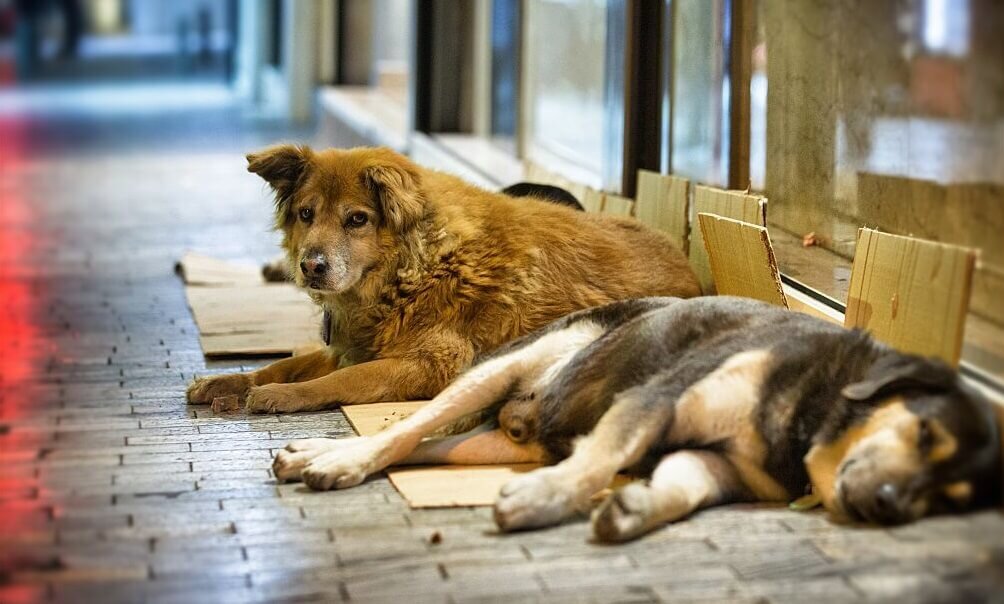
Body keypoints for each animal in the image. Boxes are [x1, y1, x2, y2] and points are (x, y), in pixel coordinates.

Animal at [186, 145, 698, 411]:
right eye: (306, 214)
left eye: (357, 219)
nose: (311, 266)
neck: (410, 268)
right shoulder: (352, 345)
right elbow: (285, 364)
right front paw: (230, 382)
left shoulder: (430, 365)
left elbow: (338, 382)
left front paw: (283, 395)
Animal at [271, 296, 999, 541]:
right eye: (925, 431)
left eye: (945, 501)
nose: (888, 506)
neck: (815, 408)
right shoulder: (658, 399)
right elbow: (603, 460)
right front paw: (543, 501)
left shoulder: (714, 462)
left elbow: (679, 488)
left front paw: (636, 508)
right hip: (503, 368)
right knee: (406, 429)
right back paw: (340, 460)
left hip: (495, 444)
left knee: (421, 449)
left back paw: (309, 458)